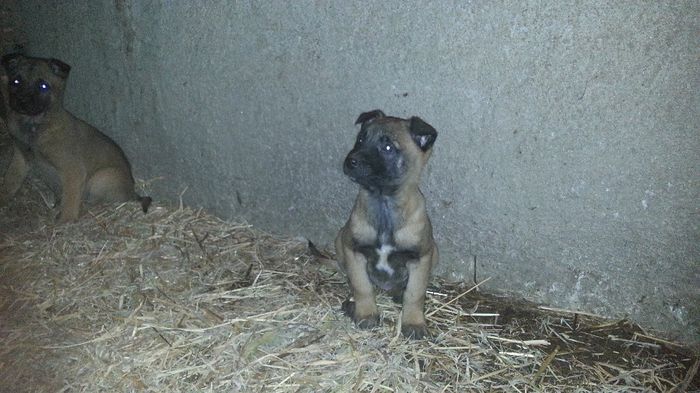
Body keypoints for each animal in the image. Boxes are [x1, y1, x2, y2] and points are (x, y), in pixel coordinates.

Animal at [334, 108, 438, 338]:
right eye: (361, 139)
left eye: (388, 147)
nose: (350, 161)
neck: (383, 203)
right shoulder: (353, 249)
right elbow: (362, 286)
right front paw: (366, 313)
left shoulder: (421, 257)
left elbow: (415, 294)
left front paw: (413, 322)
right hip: (339, 239)